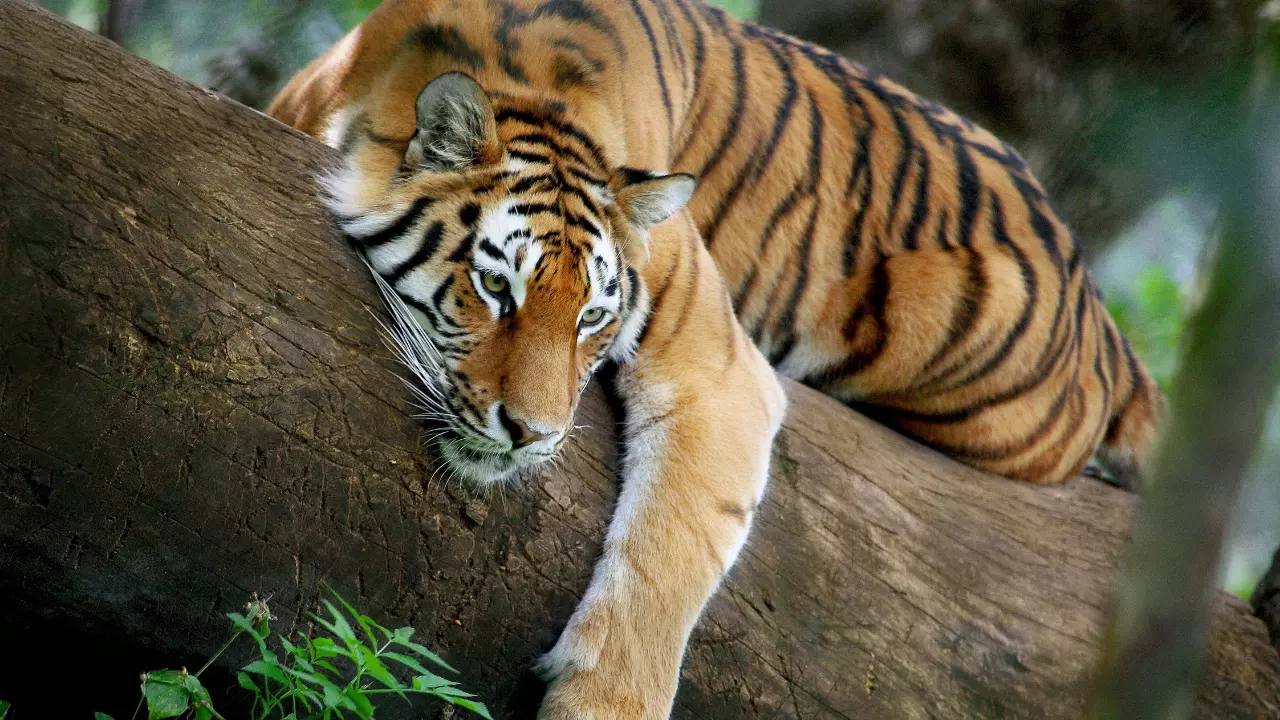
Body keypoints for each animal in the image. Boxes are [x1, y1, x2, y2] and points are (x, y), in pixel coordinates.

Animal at [267, 0, 1166, 717]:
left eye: (593, 317)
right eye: (496, 288)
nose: (532, 434)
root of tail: (1097, 306)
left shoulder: (719, 369)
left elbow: (667, 556)